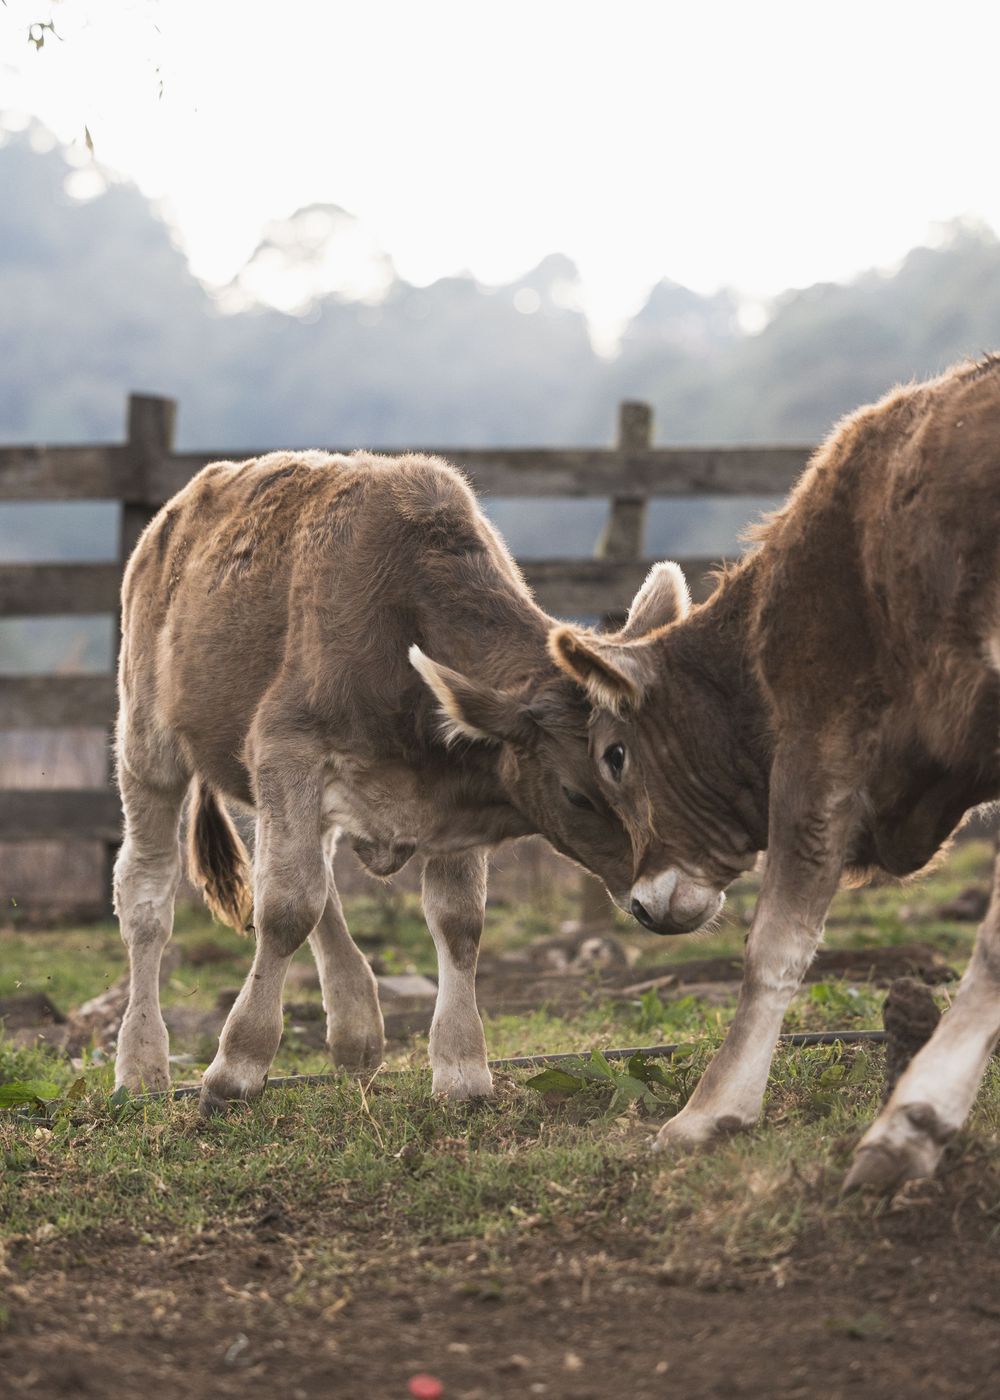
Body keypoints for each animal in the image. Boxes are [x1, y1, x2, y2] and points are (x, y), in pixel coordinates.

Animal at [113, 448, 670, 1114]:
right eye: (576, 793)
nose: (671, 900)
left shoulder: (464, 783)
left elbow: (456, 920)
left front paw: (461, 1067)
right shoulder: (285, 748)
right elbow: (286, 906)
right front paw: (236, 1065)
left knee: (320, 879)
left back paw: (355, 1029)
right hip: (146, 739)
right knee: (148, 892)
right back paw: (140, 1063)